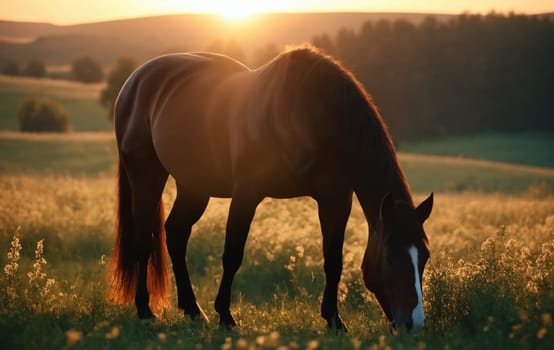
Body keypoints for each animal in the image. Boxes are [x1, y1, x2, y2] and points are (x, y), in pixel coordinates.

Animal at [108, 46, 432, 334]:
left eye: (425, 256)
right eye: (389, 255)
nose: (413, 324)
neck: (308, 115)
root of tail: (136, 80)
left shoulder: (335, 199)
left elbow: (333, 261)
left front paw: (334, 320)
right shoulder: (247, 193)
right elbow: (232, 255)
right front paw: (225, 316)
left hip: (194, 187)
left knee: (175, 233)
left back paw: (193, 310)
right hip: (146, 175)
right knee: (143, 239)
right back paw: (145, 310)